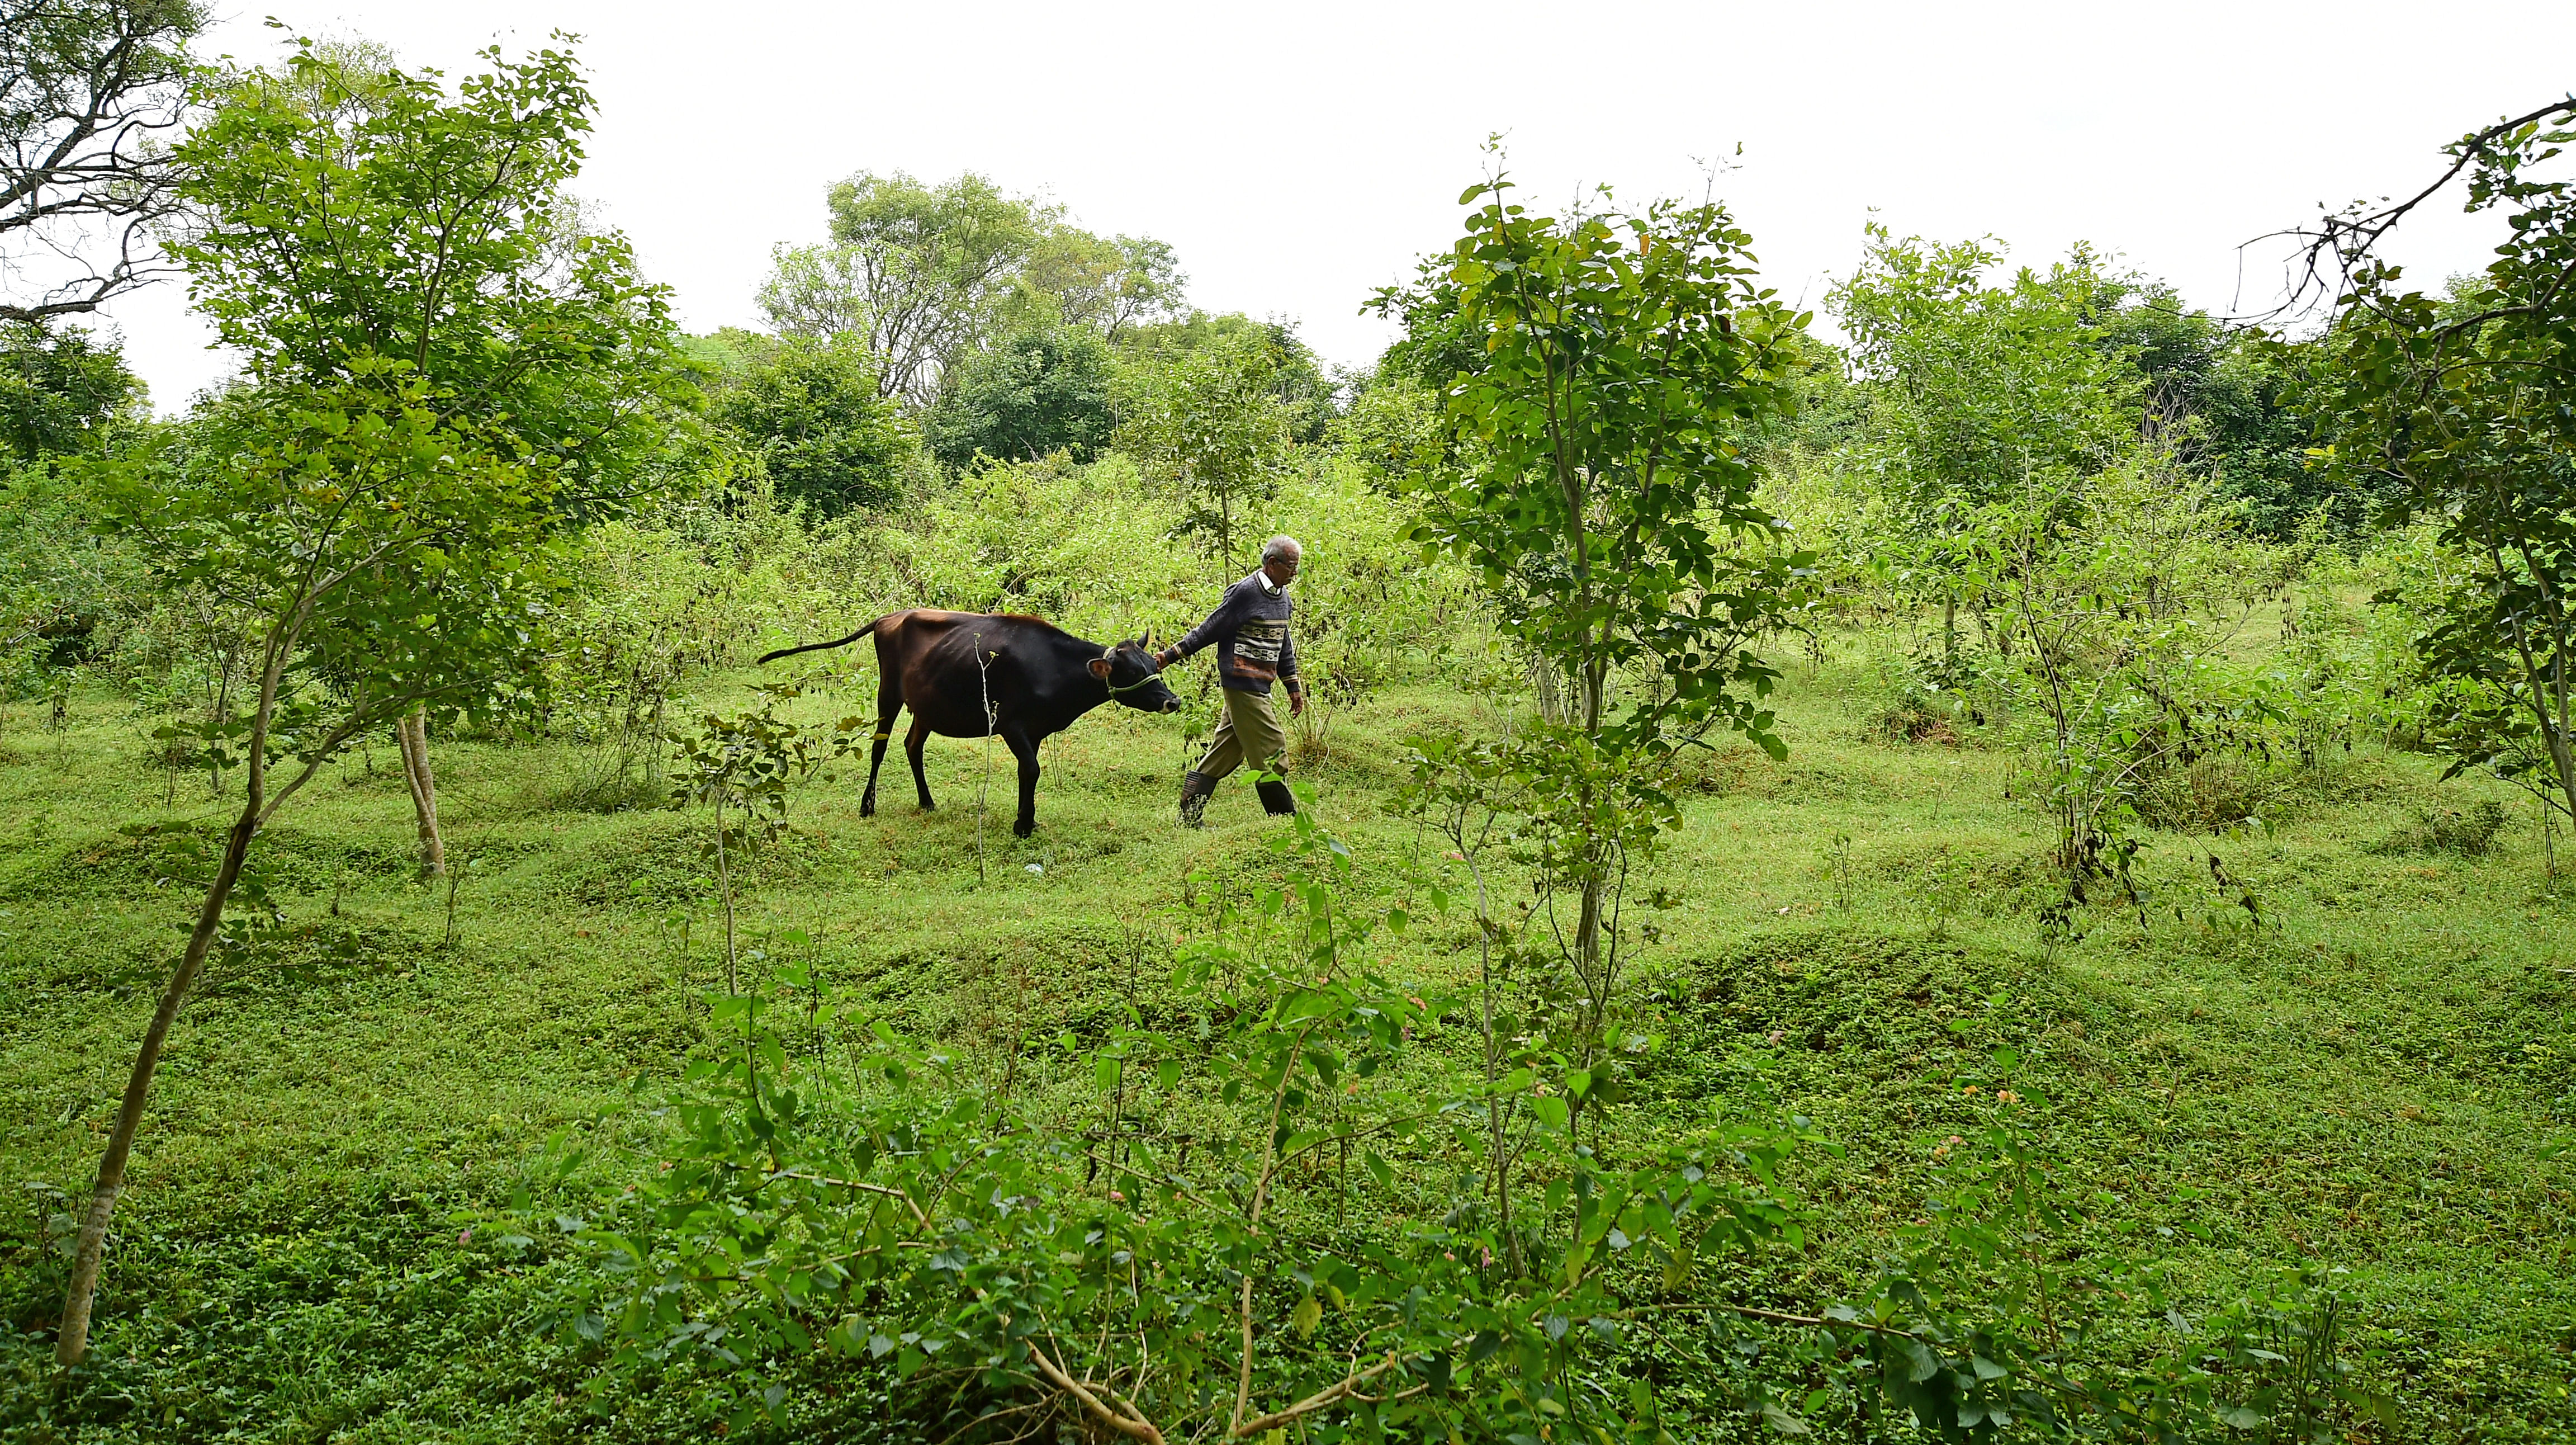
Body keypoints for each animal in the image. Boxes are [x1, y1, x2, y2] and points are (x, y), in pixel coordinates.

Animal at [752, 608, 1180, 834]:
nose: (1172, 701)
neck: (1056, 670)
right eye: (1130, 671)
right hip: (888, 693)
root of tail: (891, 617)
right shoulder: (1010, 724)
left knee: (912, 746)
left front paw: (1027, 820)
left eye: (1153, 664)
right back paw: (867, 805)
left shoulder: (1036, 730)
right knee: (880, 746)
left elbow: (1030, 772)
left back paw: (927, 802)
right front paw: (1023, 824)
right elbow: (1031, 769)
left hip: (926, 706)